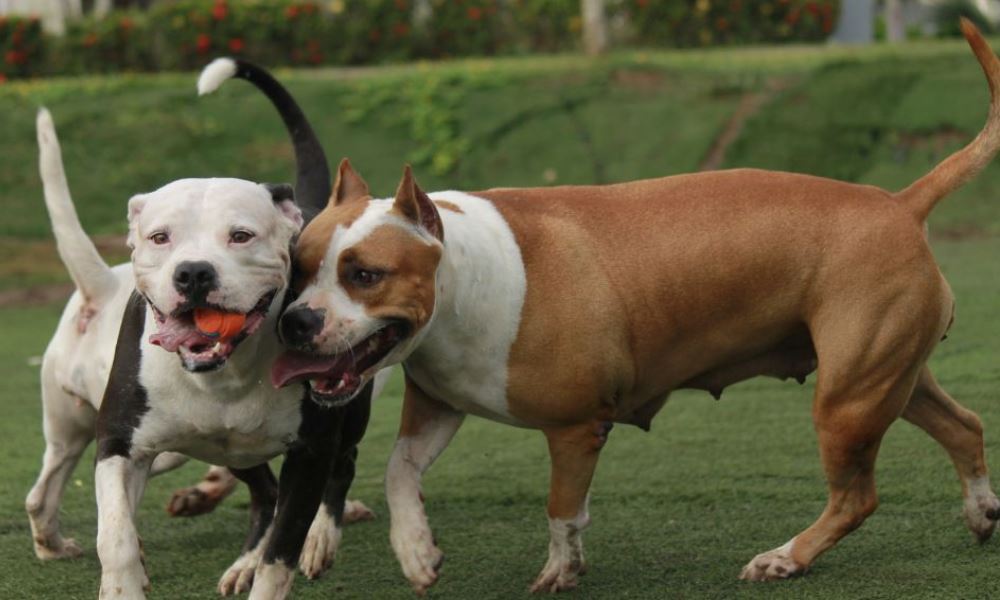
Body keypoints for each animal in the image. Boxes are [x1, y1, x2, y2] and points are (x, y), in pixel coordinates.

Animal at [31, 58, 382, 596]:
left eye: (241, 235)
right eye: (159, 237)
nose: (193, 272)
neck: (222, 375)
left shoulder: (310, 452)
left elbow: (282, 551)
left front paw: (282, 558)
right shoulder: (119, 445)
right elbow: (116, 535)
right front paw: (124, 581)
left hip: (344, 402)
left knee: (340, 466)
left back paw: (320, 538)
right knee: (262, 492)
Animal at [270, 21, 1000, 592]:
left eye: (365, 275)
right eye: (297, 266)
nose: (295, 321)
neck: (460, 277)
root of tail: (900, 202)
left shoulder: (574, 427)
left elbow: (562, 508)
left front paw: (560, 571)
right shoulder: (438, 405)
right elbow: (399, 471)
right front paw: (416, 551)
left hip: (848, 398)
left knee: (857, 496)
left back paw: (786, 558)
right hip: (887, 376)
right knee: (963, 426)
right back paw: (980, 512)